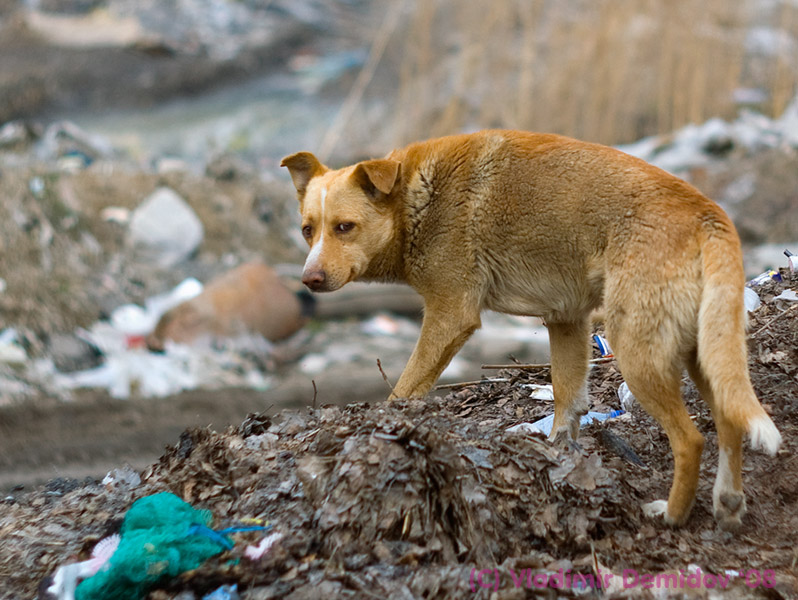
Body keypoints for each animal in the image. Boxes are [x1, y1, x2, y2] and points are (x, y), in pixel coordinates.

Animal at [284, 130, 784, 528]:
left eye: (345, 227)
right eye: (308, 230)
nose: (308, 281)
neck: (413, 198)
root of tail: (706, 213)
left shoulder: (450, 313)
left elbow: (404, 390)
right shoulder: (566, 319)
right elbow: (567, 400)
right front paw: (559, 457)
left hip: (637, 352)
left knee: (691, 440)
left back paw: (673, 515)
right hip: (703, 352)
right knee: (729, 422)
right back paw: (728, 503)